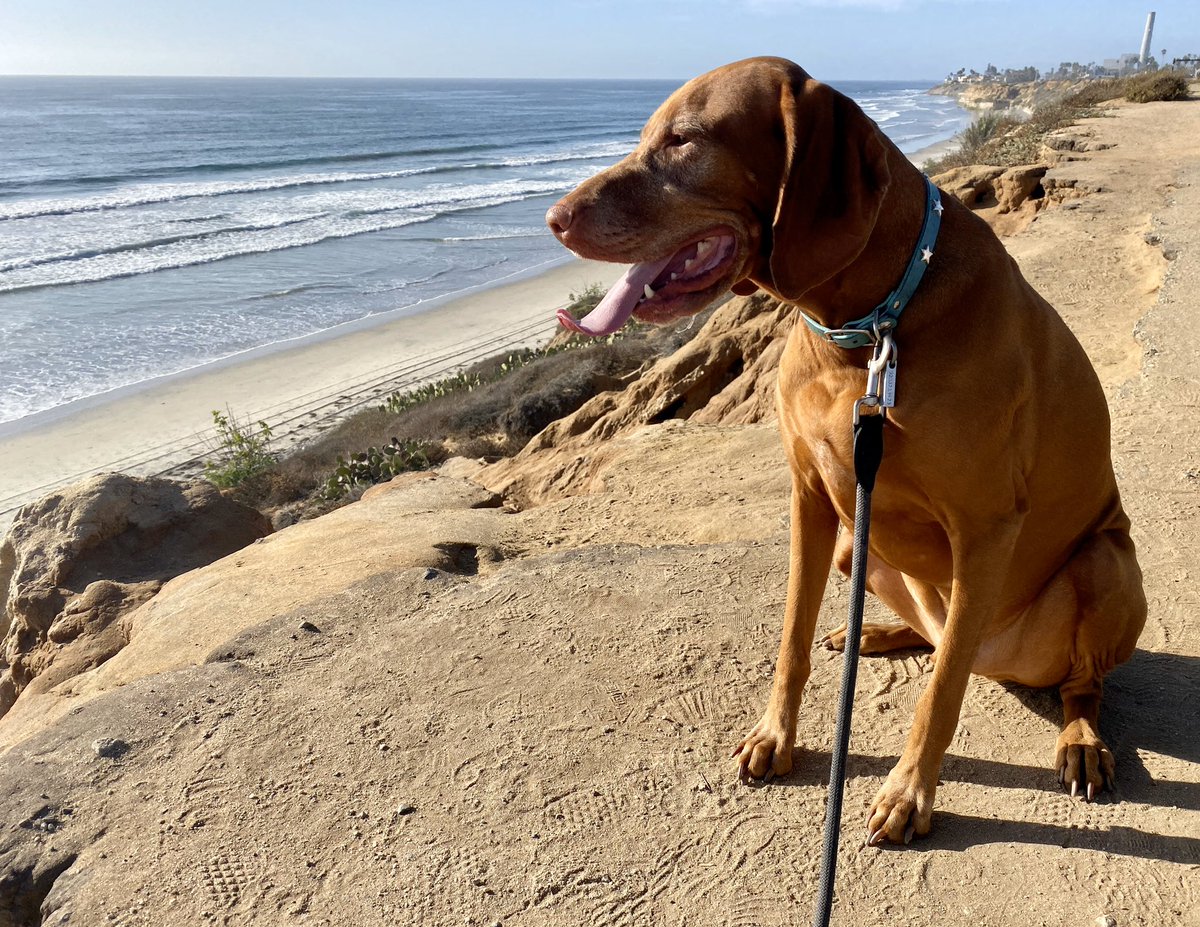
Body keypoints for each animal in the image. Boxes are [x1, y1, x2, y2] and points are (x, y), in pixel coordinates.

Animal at [544, 54, 1142, 845]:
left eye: (683, 139)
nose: (553, 218)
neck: (870, 326)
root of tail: (1005, 664)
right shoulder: (810, 493)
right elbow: (790, 641)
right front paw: (776, 734)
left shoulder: (986, 525)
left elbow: (941, 693)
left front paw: (909, 793)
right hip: (854, 551)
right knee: (936, 634)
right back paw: (881, 634)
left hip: (1106, 565)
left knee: (1067, 679)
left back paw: (1080, 740)